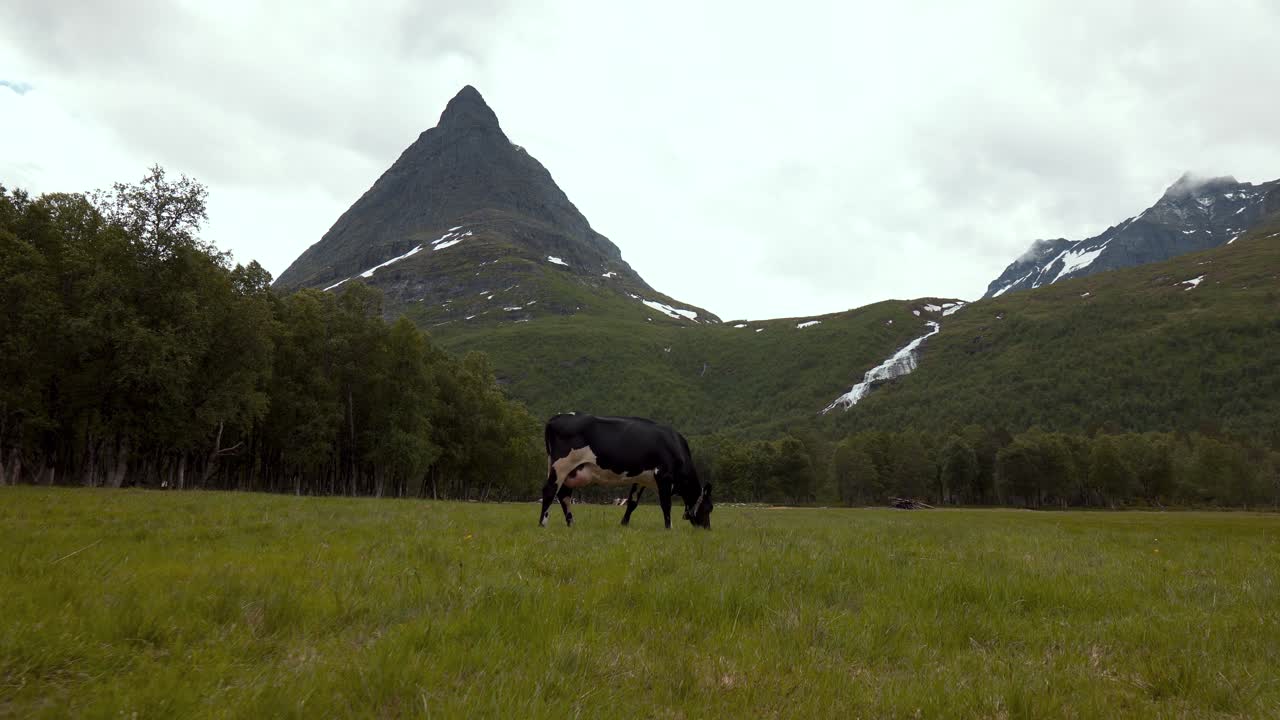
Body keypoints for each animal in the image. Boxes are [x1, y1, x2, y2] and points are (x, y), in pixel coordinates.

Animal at [540, 413, 713, 529]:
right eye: (709, 507)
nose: (707, 529)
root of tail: (556, 418)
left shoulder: (642, 479)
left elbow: (632, 503)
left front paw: (623, 524)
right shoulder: (664, 476)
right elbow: (666, 504)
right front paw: (668, 527)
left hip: (569, 472)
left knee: (564, 495)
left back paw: (571, 524)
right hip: (561, 465)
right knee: (550, 491)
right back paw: (543, 523)